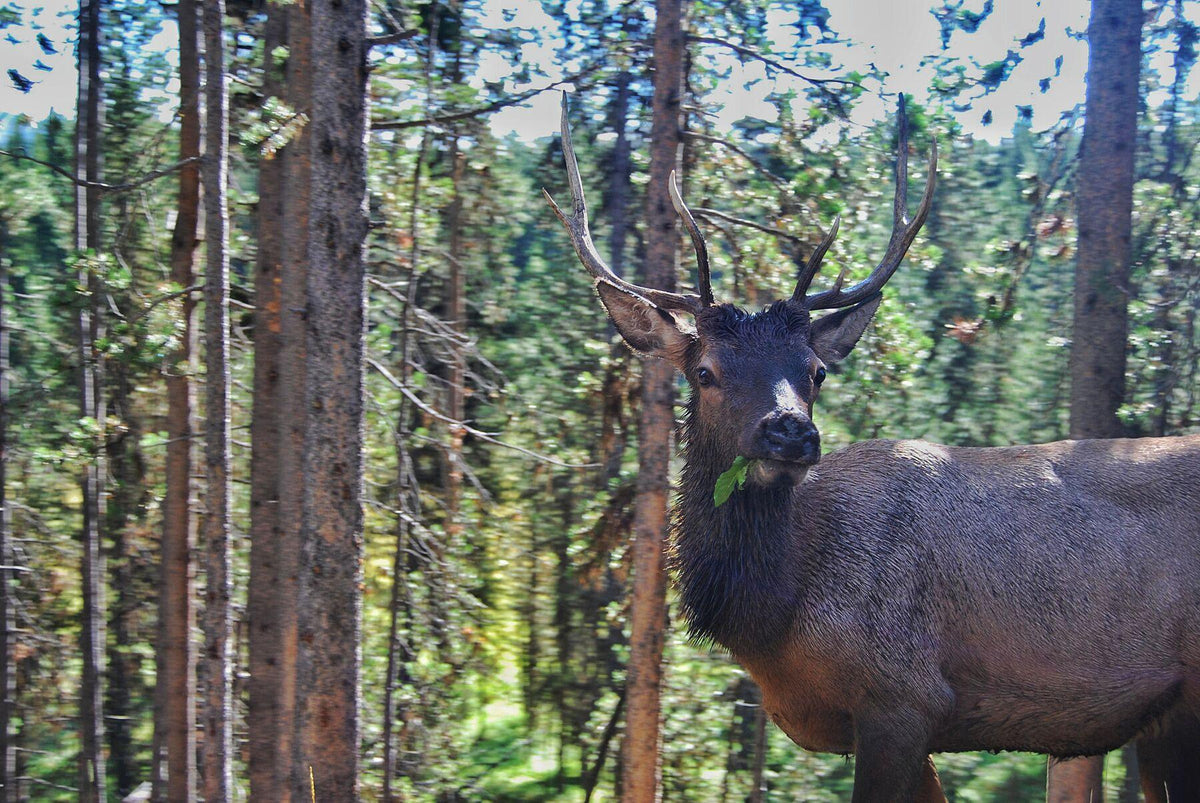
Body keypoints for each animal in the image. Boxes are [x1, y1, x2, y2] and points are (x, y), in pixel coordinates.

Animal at [544, 93, 1200, 803]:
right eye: (705, 371)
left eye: (816, 372)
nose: (791, 430)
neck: (776, 619)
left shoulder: (903, 694)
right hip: (1167, 718)